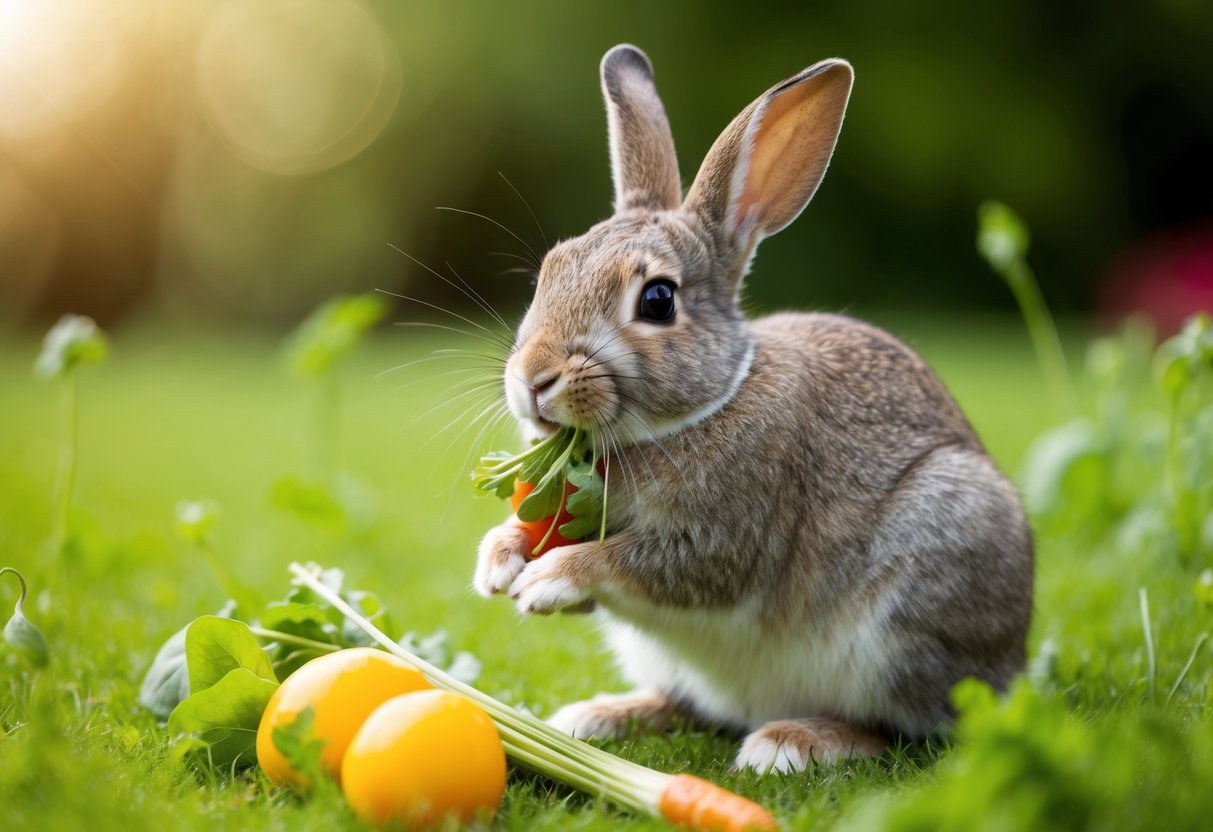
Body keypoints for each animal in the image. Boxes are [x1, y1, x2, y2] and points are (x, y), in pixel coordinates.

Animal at [473, 43, 1033, 773]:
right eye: (550, 270)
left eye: (657, 301)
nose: (533, 379)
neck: (703, 407)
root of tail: (1011, 667)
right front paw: (497, 563)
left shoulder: (727, 537)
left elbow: (643, 563)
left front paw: (547, 580)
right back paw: (597, 717)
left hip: (927, 576)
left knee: (905, 727)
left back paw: (789, 744)